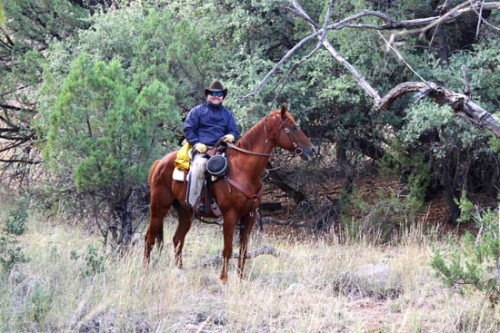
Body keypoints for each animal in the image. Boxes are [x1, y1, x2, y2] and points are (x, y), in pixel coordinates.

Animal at [145, 103, 314, 282]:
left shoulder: (249, 217)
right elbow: (227, 249)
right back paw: (145, 271)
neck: (242, 170)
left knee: (178, 240)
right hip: (158, 208)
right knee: (149, 238)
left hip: (185, 212)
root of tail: (159, 163)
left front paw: (240, 278)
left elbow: (243, 250)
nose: (312, 149)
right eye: (292, 127)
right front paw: (223, 280)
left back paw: (180, 273)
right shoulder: (230, 216)